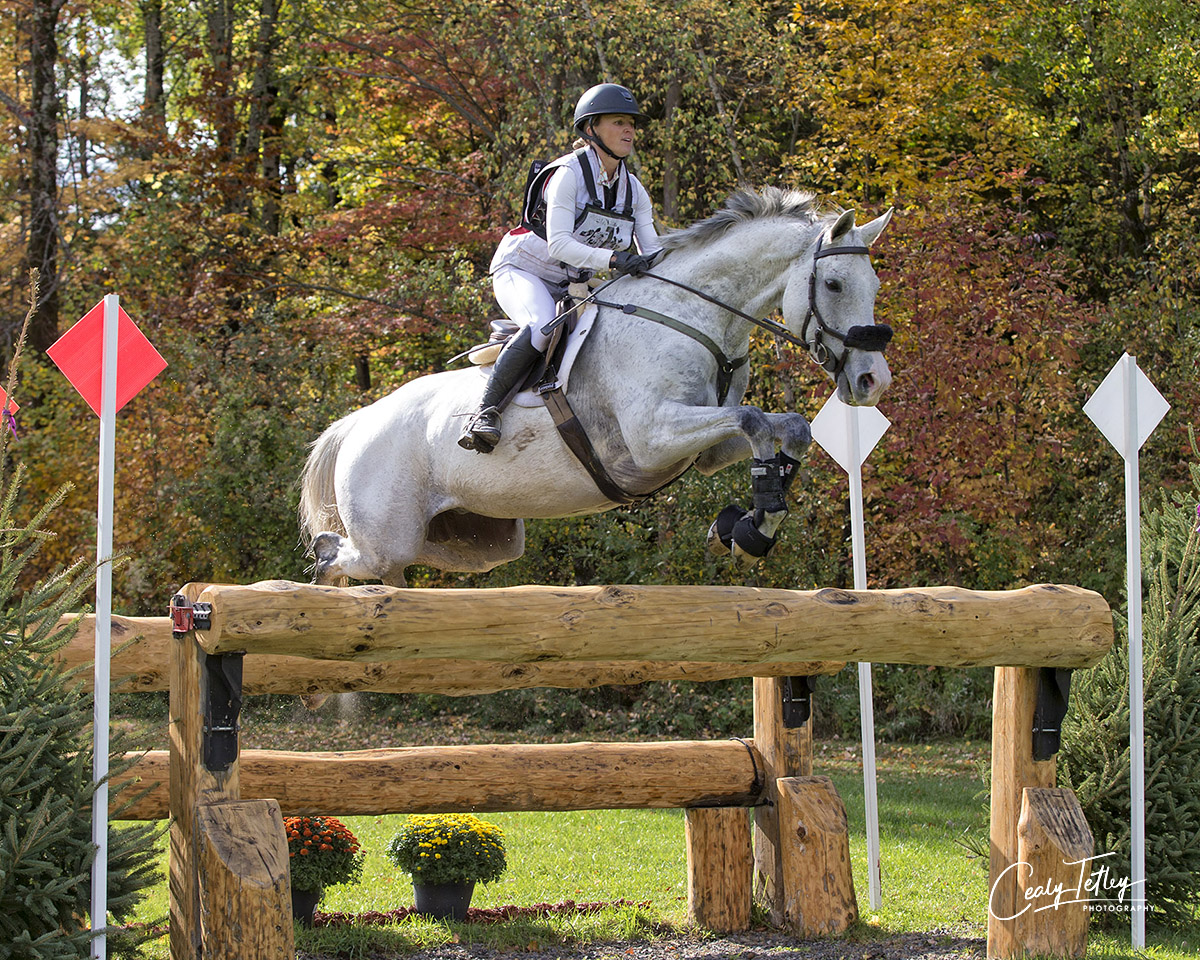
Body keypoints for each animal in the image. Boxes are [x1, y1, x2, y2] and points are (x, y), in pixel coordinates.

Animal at [299, 187, 893, 586]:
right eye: (834, 284)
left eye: (873, 285)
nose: (872, 380)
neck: (695, 317)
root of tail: (357, 422)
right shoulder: (653, 438)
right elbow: (753, 419)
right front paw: (751, 519)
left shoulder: (702, 447)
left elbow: (786, 427)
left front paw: (748, 528)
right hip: (391, 530)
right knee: (347, 553)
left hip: (476, 541)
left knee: (390, 563)